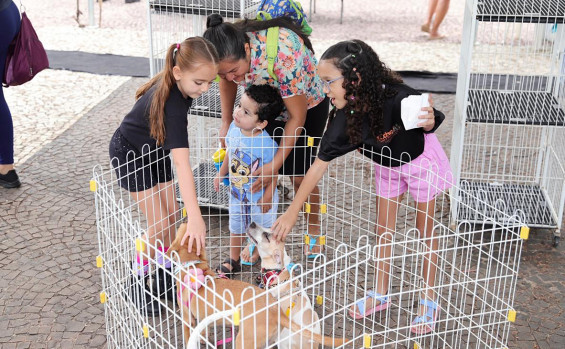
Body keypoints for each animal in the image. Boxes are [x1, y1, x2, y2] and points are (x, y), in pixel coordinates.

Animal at [165, 223, 346, 348]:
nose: (252, 223)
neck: (192, 265)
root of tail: (275, 312)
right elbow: (203, 331)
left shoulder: (187, 319)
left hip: (245, 341)